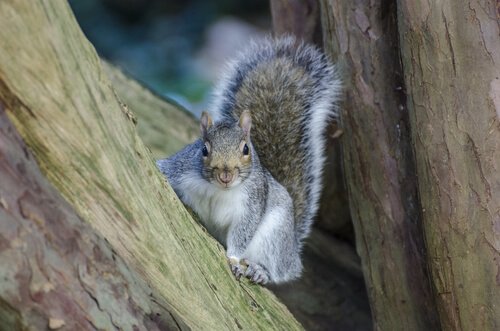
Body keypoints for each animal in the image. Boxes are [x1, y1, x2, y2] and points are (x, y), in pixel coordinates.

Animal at [158, 36, 342, 286]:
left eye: (246, 149)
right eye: (204, 149)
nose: (226, 175)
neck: (219, 190)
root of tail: (292, 251)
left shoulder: (251, 205)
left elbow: (242, 232)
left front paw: (233, 259)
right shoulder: (181, 168)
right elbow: (163, 169)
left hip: (275, 236)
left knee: (276, 269)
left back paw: (259, 270)